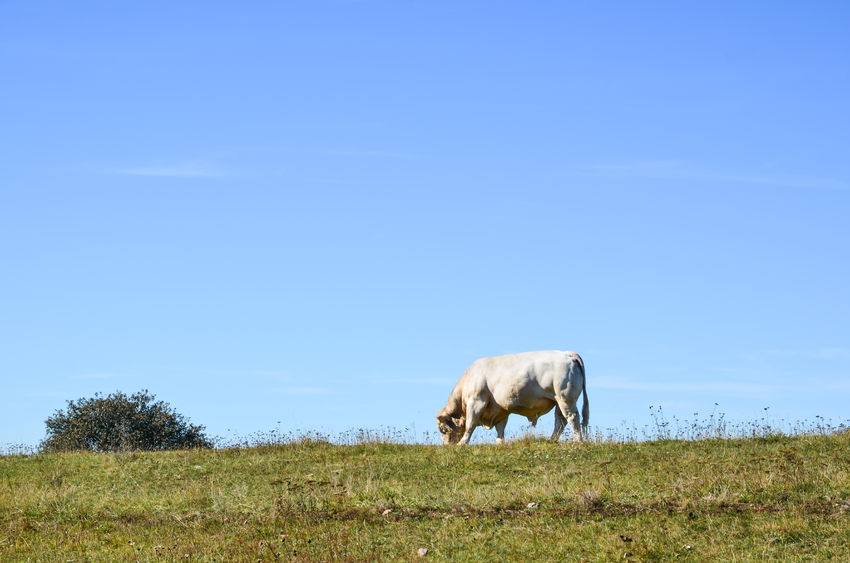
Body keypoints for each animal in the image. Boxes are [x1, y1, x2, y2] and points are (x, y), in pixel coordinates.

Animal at [434, 350, 588, 448]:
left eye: (443, 429)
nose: (446, 446)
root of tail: (568, 353)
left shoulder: (476, 402)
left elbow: (470, 425)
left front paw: (462, 443)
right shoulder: (500, 409)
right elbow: (500, 427)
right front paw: (499, 443)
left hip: (565, 398)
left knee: (572, 418)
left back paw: (577, 441)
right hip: (558, 401)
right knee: (560, 421)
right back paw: (552, 440)